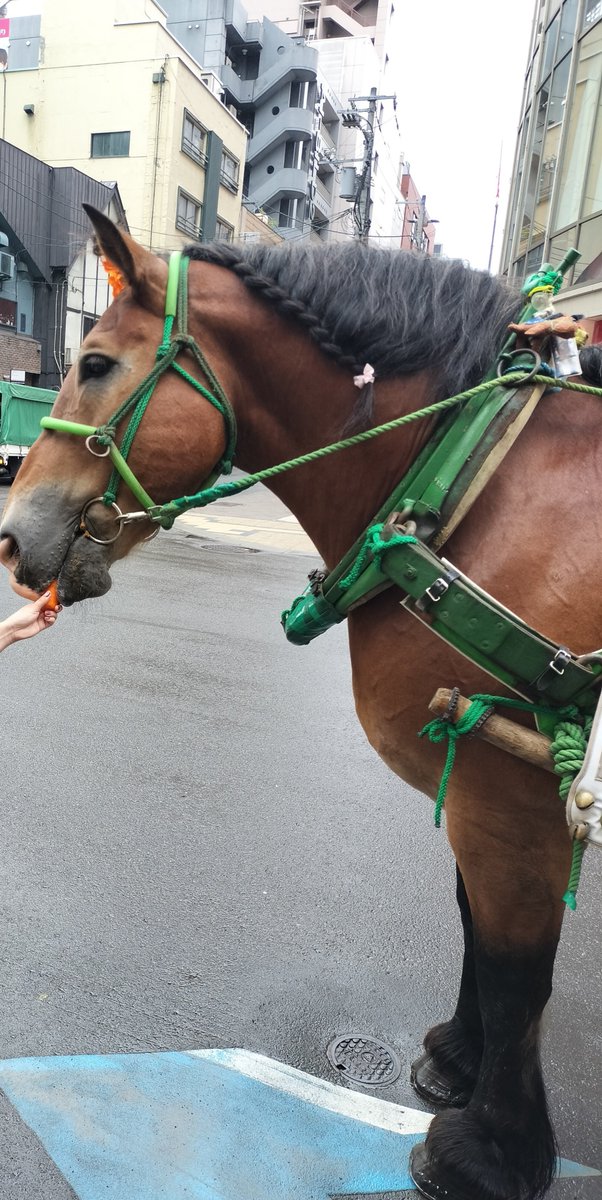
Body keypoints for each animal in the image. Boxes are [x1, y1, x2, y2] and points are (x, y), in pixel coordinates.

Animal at [1, 207, 597, 1200]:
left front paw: (492, 1152)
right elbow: (476, 923)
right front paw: (460, 1058)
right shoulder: (480, 785)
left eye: (95, 363)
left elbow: (517, 969)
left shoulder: (507, 793)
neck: (460, 484)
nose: (10, 537)